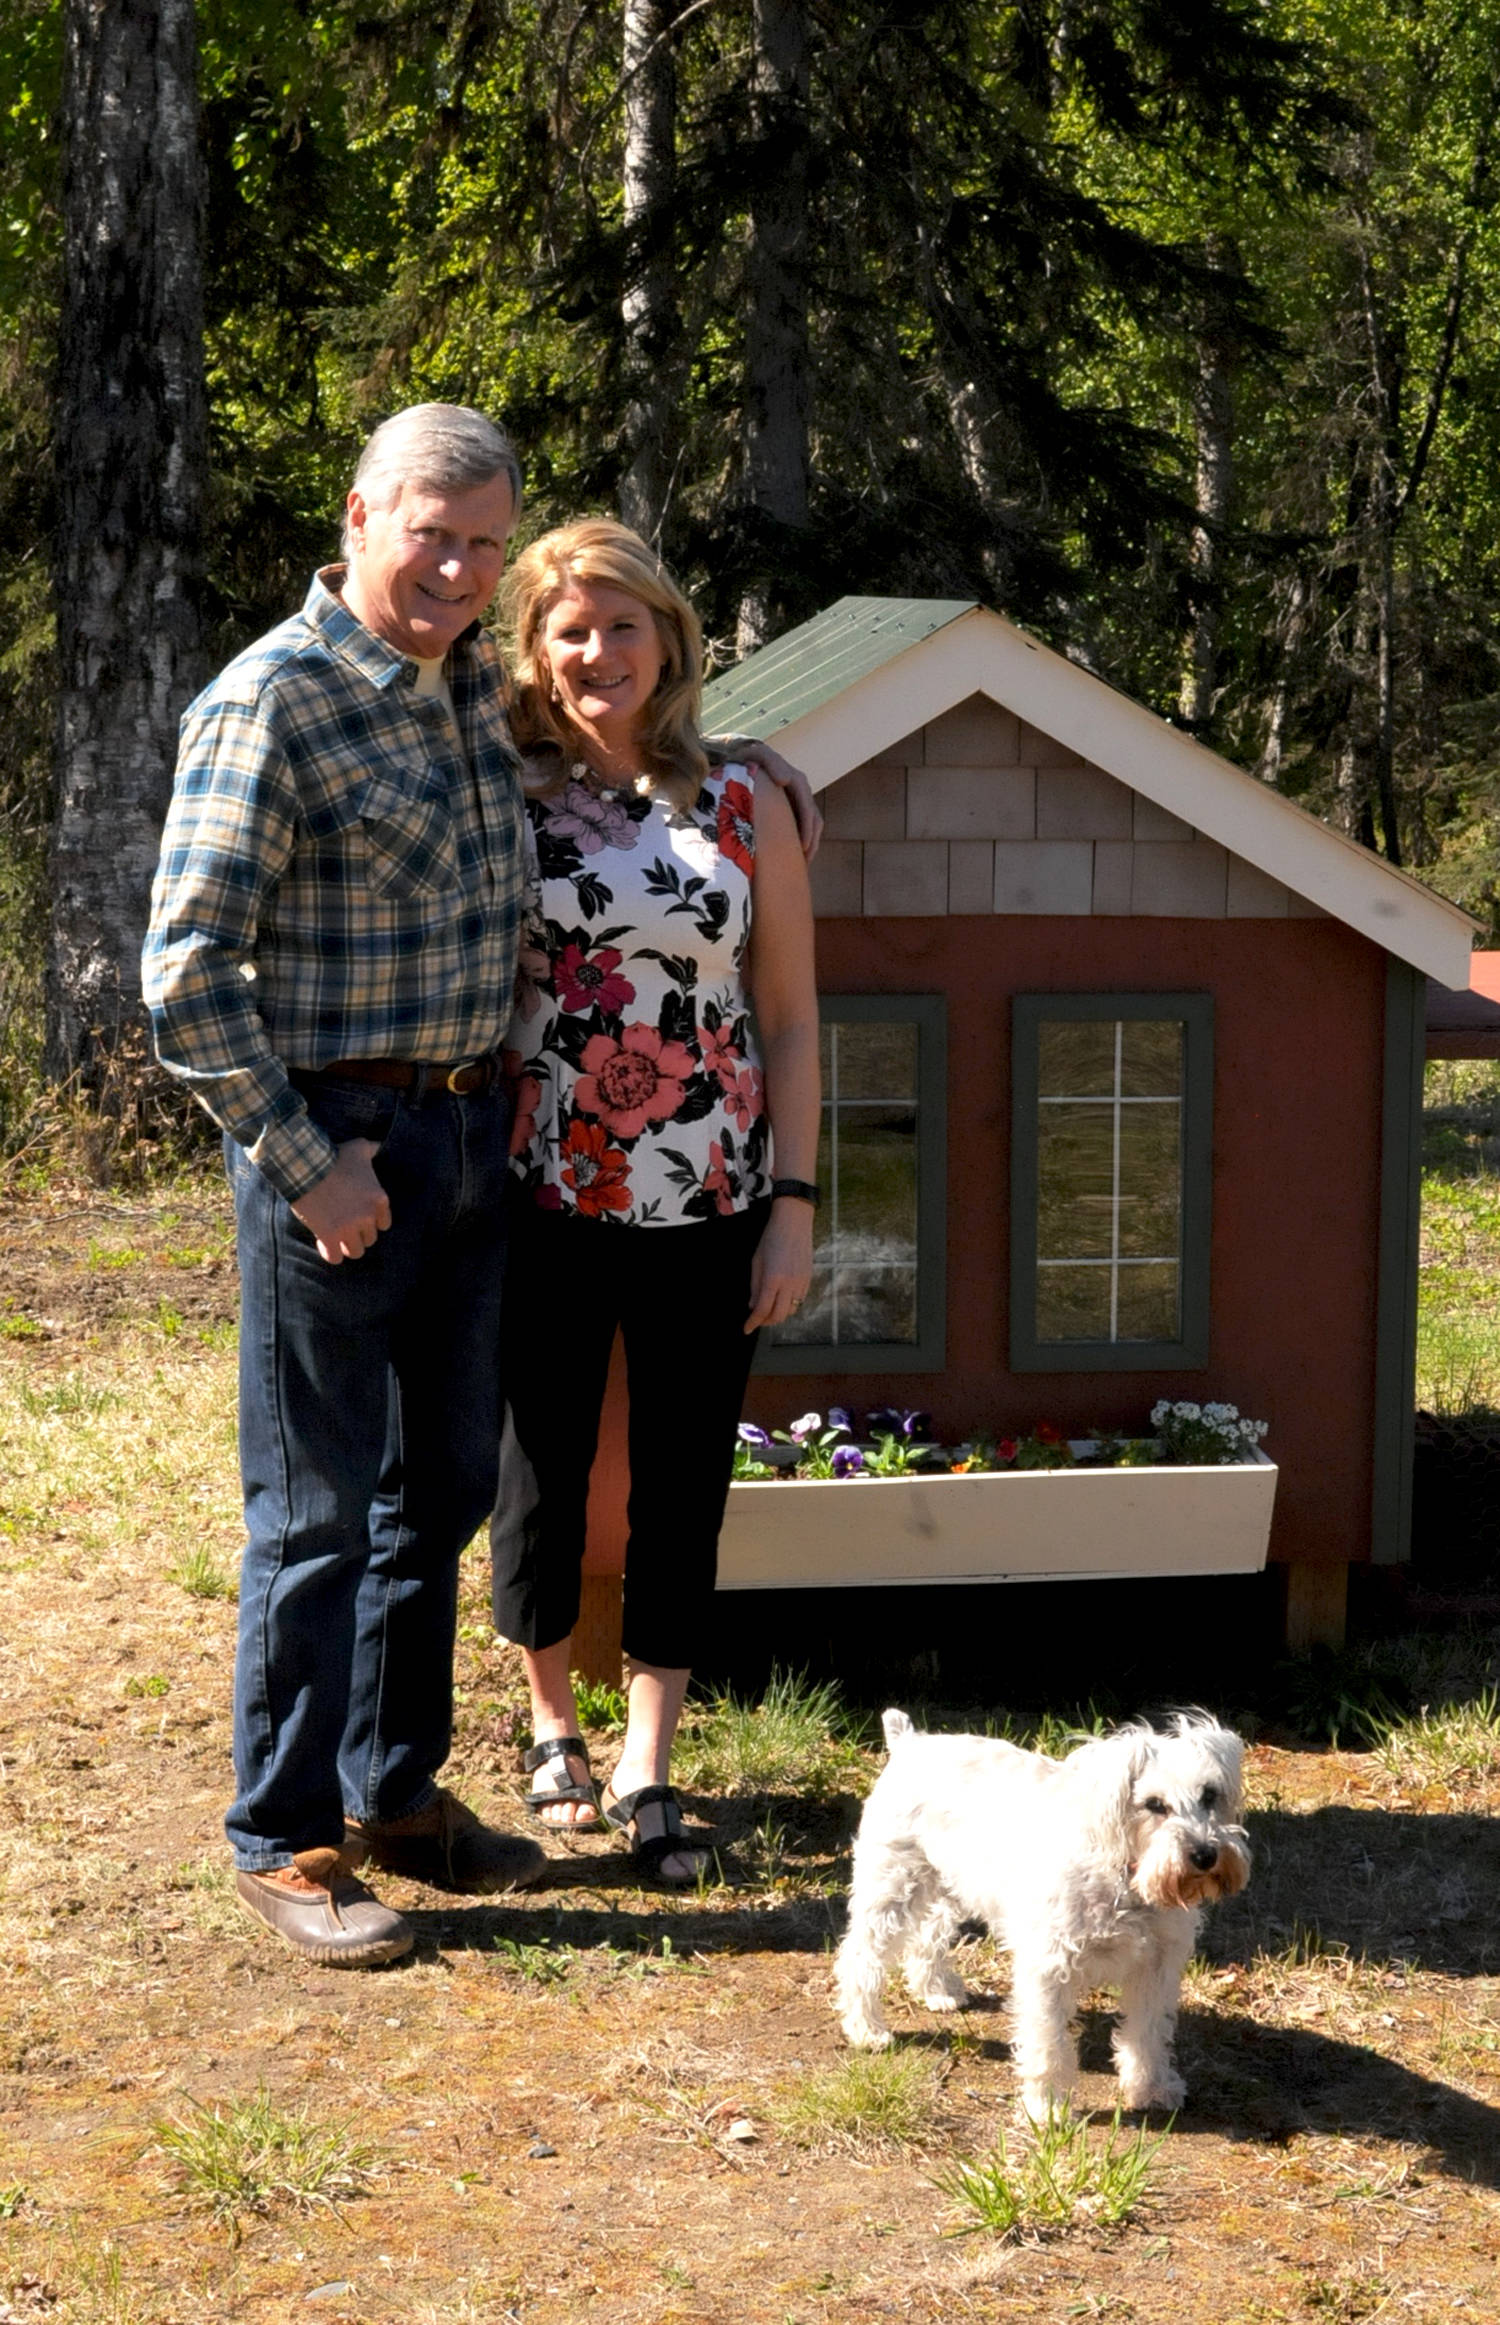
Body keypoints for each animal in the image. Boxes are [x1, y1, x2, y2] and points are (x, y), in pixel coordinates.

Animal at [837, 1711, 1246, 2111]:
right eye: (1154, 1804)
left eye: (1210, 1794)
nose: (1205, 1855)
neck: (1124, 1880)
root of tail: (910, 1741)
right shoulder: (1050, 1966)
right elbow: (1048, 2042)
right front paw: (1046, 2107)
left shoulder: (1156, 1966)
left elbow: (1147, 2033)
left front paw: (1152, 2089)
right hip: (890, 1888)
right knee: (859, 1958)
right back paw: (866, 2029)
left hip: (947, 1886)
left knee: (928, 1935)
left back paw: (937, 1991)